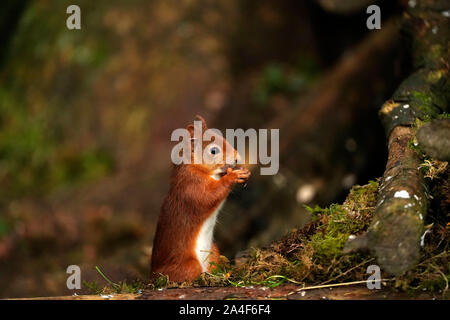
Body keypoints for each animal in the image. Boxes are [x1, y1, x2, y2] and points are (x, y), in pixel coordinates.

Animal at [150, 115, 250, 282]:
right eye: (213, 151)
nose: (238, 158)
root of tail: (152, 275)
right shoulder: (192, 188)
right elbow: (208, 196)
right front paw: (232, 176)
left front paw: (244, 171)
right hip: (188, 265)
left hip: (213, 253)